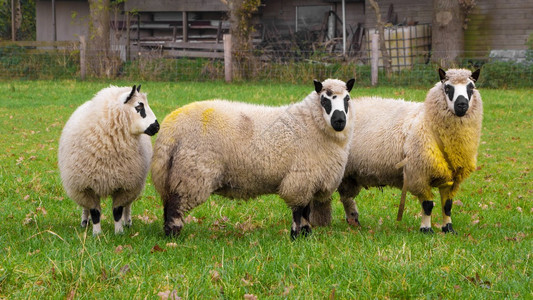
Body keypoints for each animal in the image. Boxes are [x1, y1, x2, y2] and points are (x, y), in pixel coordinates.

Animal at [58, 84, 159, 234]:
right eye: (139, 107)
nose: (157, 126)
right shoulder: (86, 186)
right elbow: (94, 212)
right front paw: (97, 233)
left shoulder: (125, 186)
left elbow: (117, 211)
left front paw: (119, 232)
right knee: (85, 207)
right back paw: (84, 222)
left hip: (134, 184)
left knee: (128, 205)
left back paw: (127, 222)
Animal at [152, 78, 356, 239]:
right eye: (325, 100)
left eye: (347, 99)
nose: (339, 121)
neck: (311, 123)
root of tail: (170, 129)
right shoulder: (300, 179)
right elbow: (299, 211)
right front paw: (295, 236)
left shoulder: (309, 181)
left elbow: (306, 211)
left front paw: (306, 235)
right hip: (191, 173)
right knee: (175, 206)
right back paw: (173, 236)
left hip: (175, 173)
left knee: (168, 204)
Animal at [312, 68, 482, 234]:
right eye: (447, 88)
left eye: (471, 87)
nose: (462, 105)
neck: (427, 120)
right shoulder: (418, 174)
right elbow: (427, 205)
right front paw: (426, 229)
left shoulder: (451, 177)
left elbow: (447, 205)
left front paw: (449, 229)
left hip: (348, 173)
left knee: (346, 197)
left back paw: (353, 221)